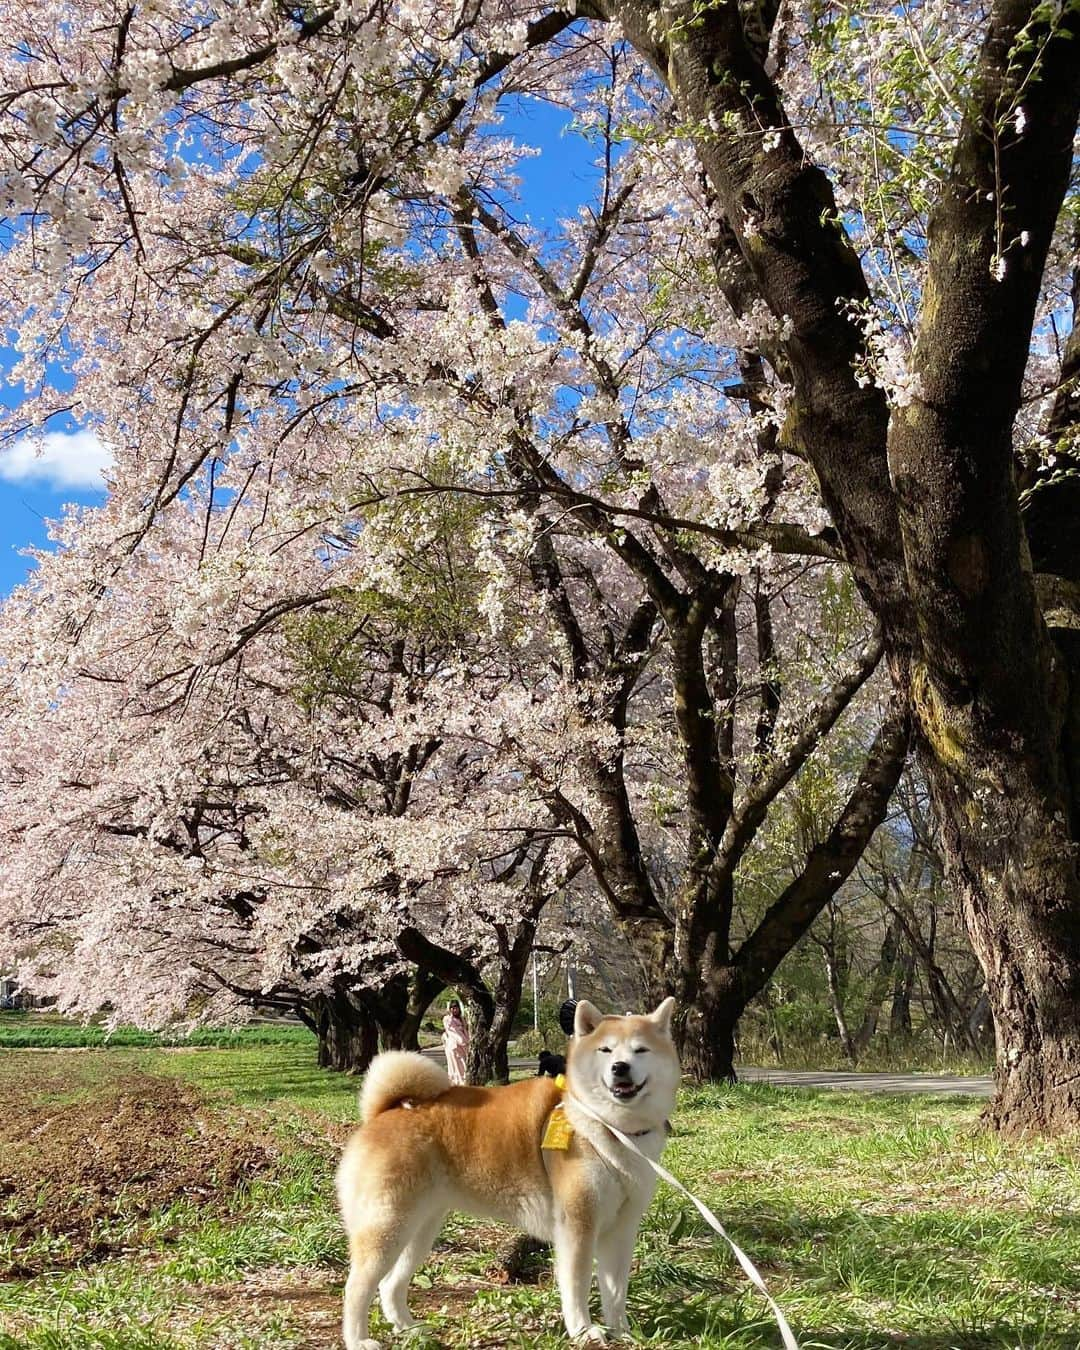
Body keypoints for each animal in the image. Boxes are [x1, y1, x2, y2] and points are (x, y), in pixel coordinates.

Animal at [333, 999, 680, 1344]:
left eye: (640, 1050)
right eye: (605, 1050)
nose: (620, 1067)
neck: (609, 1128)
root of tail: (382, 1113)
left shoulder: (621, 1229)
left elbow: (616, 1292)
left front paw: (622, 1332)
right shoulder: (578, 1225)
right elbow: (578, 1286)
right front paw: (583, 1331)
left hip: (419, 1230)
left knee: (390, 1284)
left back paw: (411, 1329)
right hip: (388, 1227)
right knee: (356, 1288)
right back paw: (358, 1340)